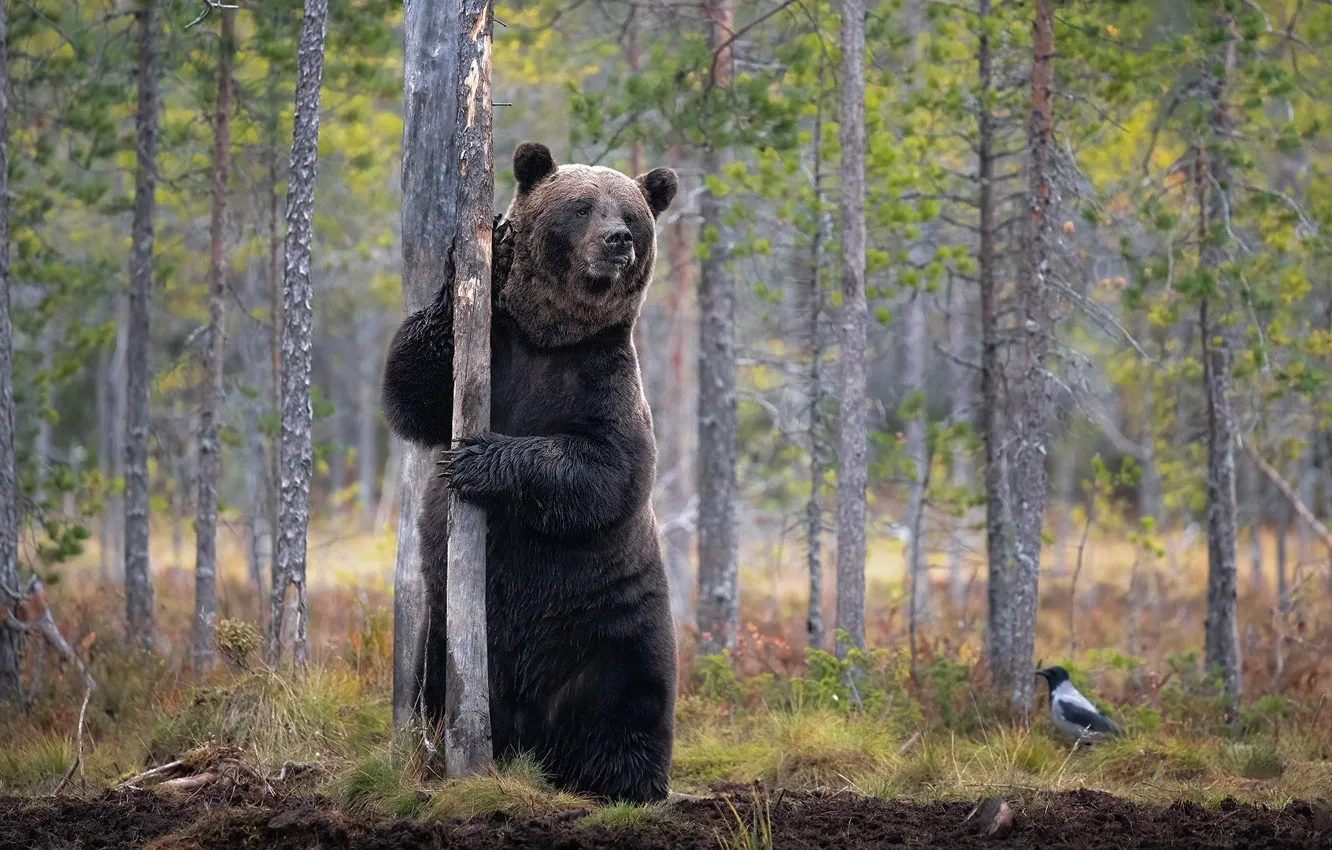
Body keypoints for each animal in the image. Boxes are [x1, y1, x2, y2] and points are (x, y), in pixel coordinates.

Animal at [382, 142, 679, 803]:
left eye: (631, 212)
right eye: (581, 206)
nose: (618, 240)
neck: (550, 338)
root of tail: (529, 730)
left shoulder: (604, 382)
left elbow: (607, 469)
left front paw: (476, 460)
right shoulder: (495, 352)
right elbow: (414, 385)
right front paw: (486, 246)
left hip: (615, 624)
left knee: (629, 704)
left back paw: (625, 783)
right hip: (449, 632)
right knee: (431, 685)